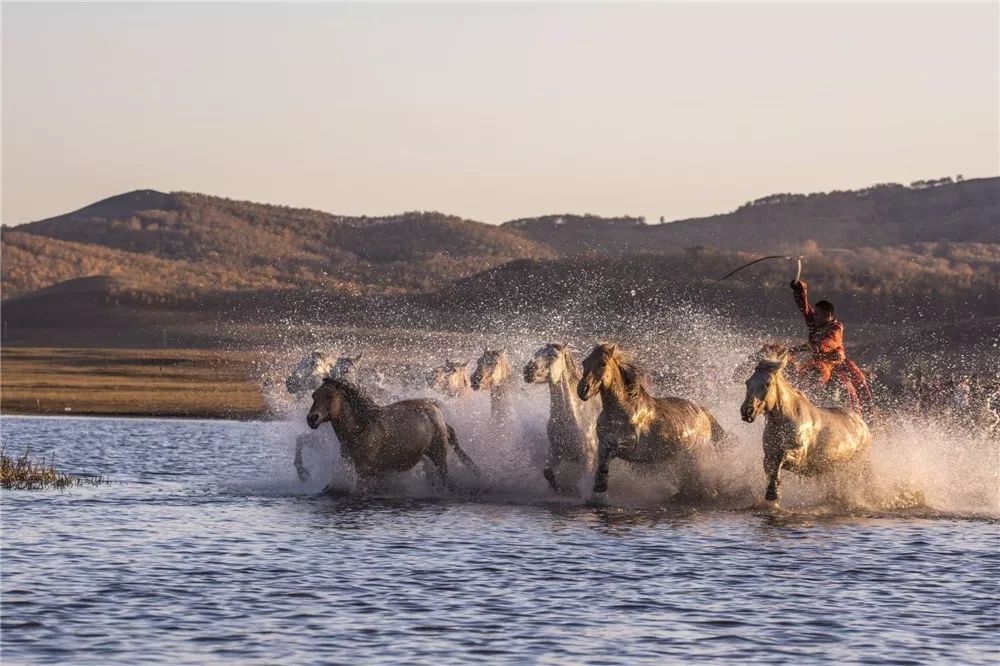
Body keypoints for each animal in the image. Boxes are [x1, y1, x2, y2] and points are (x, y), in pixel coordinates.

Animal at [302, 376, 478, 490]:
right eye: (314, 395)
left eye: (330, 396)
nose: (312, 418)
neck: (360, 431)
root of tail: (435, 408)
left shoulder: (363, 471)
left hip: (439, 456)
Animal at [524, 342, 600, 492]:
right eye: (537, 352)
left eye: (554, 355)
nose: (528, 370)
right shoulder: (555, 451)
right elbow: (547, 472)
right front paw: (557, 488)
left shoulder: (588, 459)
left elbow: (583, 482)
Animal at [580, 344, 728, 496]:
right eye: (584, 362)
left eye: (603, 363)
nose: (583, 390)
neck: (619, 411)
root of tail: (703, 411)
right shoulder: (603, 441)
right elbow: (602, 456)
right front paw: (599, 484)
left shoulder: (631, 445)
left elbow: (613, 448)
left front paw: (601, 483)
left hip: (699, 455)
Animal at [740, 344, 872, 500]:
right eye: (748, 382)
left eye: (767, 383)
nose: (747, 411)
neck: (785, 419)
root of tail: (863, 425)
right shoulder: (768, 454)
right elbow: (771, 467)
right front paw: (773, 490)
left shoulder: (799, 458)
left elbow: (782, 457)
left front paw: (774, 491)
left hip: (857, 464)